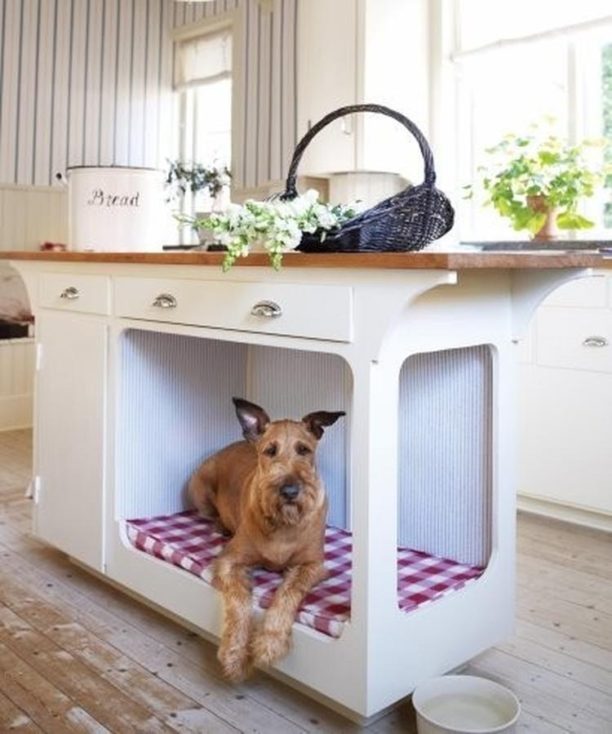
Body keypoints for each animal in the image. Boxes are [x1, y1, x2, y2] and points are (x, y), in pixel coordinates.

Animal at [190, 396, 344, 684]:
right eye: (270, 451)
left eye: (304, 450)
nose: (290, 490)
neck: (284, 523)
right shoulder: (229, 561)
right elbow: (239, 601)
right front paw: (234, 654)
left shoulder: (312, 565)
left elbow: (288, 593)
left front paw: (270, 644)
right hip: (199, 486)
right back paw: (221, 525)